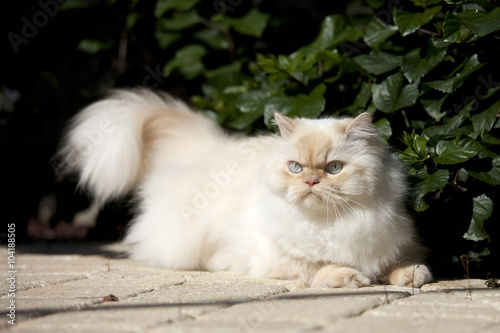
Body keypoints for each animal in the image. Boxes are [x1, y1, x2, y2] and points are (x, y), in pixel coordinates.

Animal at [58, 88, 432, 288]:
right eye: (296, 167)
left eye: (334, 168)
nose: (310, 181)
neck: (332, 223)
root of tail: (207, 148)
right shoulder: (277, 260)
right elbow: (316, 266)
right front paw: (350, 277)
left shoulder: (394, 242)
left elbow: (399, 263)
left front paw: (412, 275)